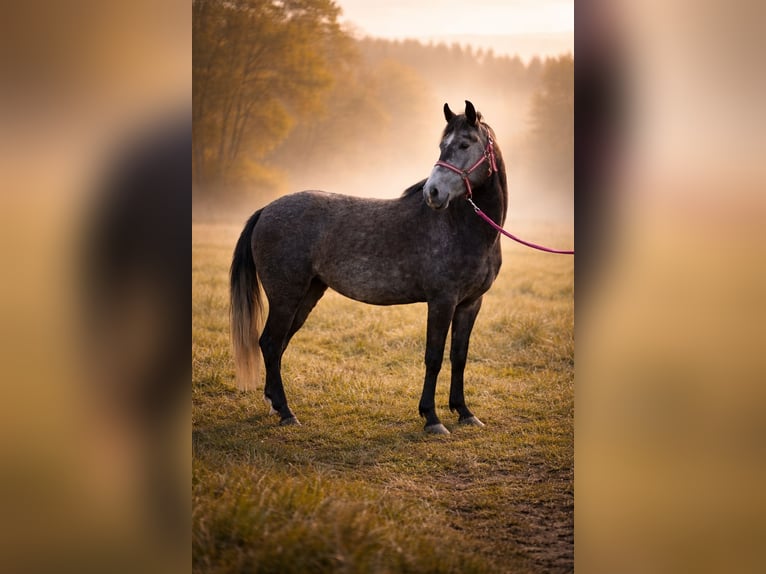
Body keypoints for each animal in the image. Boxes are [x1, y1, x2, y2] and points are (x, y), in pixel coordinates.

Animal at [230, 100, 508, 434]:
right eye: (442, 146)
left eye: (465, 144)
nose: (433, 193)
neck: (461, 227)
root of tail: (265, 210)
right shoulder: (442, 301)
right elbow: (434, 357)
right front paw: (432, 418)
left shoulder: (470, 304)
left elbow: (459, 356)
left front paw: (464, 412)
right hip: (286, 297)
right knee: (271, 343)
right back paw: (286, 412)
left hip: (307, 295)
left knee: (278, 345)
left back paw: (274, 404)